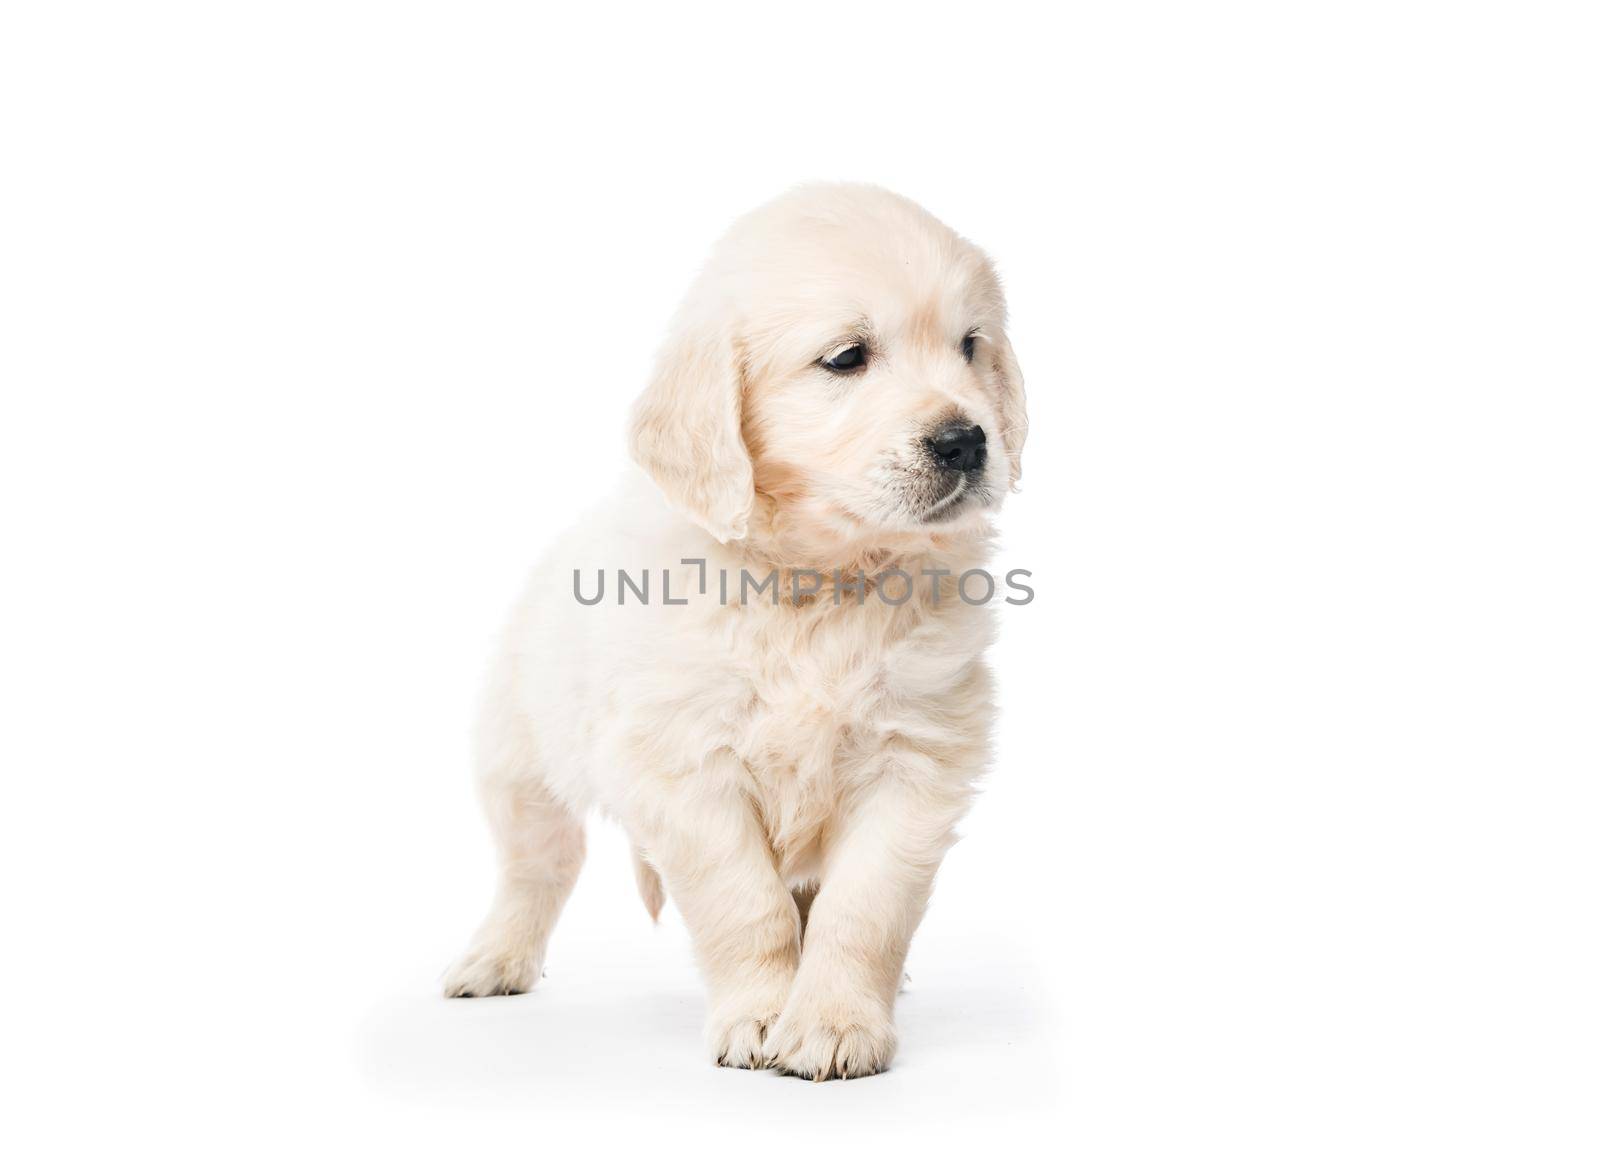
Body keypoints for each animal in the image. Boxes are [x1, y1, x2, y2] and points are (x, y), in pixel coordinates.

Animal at [444, 184, 1030, 1081]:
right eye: (847, 357)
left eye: (971, 346)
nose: (967, 440)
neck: (818, 581)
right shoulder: (687, 767)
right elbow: (745, 904)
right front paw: (759, 1014)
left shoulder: (914, 759)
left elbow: (864, 908)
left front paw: (832, 1020)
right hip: (518, 758)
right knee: (536, 866)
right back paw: (494, 959)